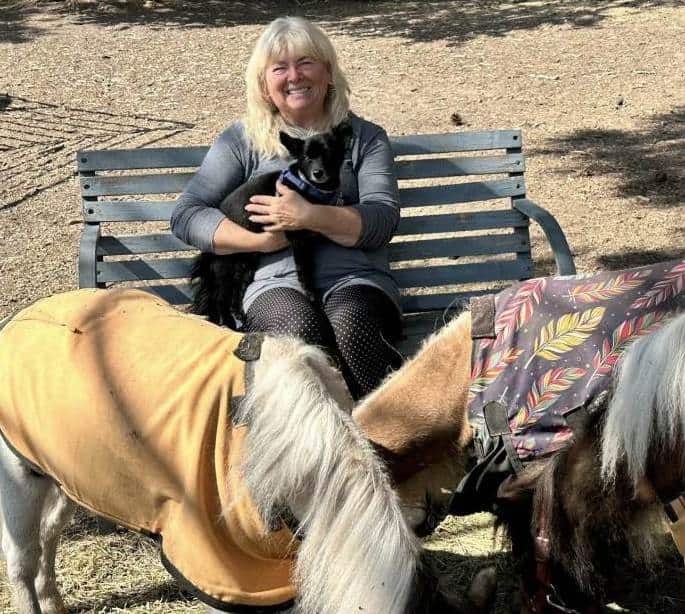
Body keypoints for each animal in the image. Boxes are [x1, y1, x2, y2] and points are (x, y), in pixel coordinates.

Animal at [0, 288, 494, 614]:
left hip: (66, 480)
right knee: (22, 562)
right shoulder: (217, 573)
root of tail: (22, 320)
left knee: (48, 539)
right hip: (19, 484)